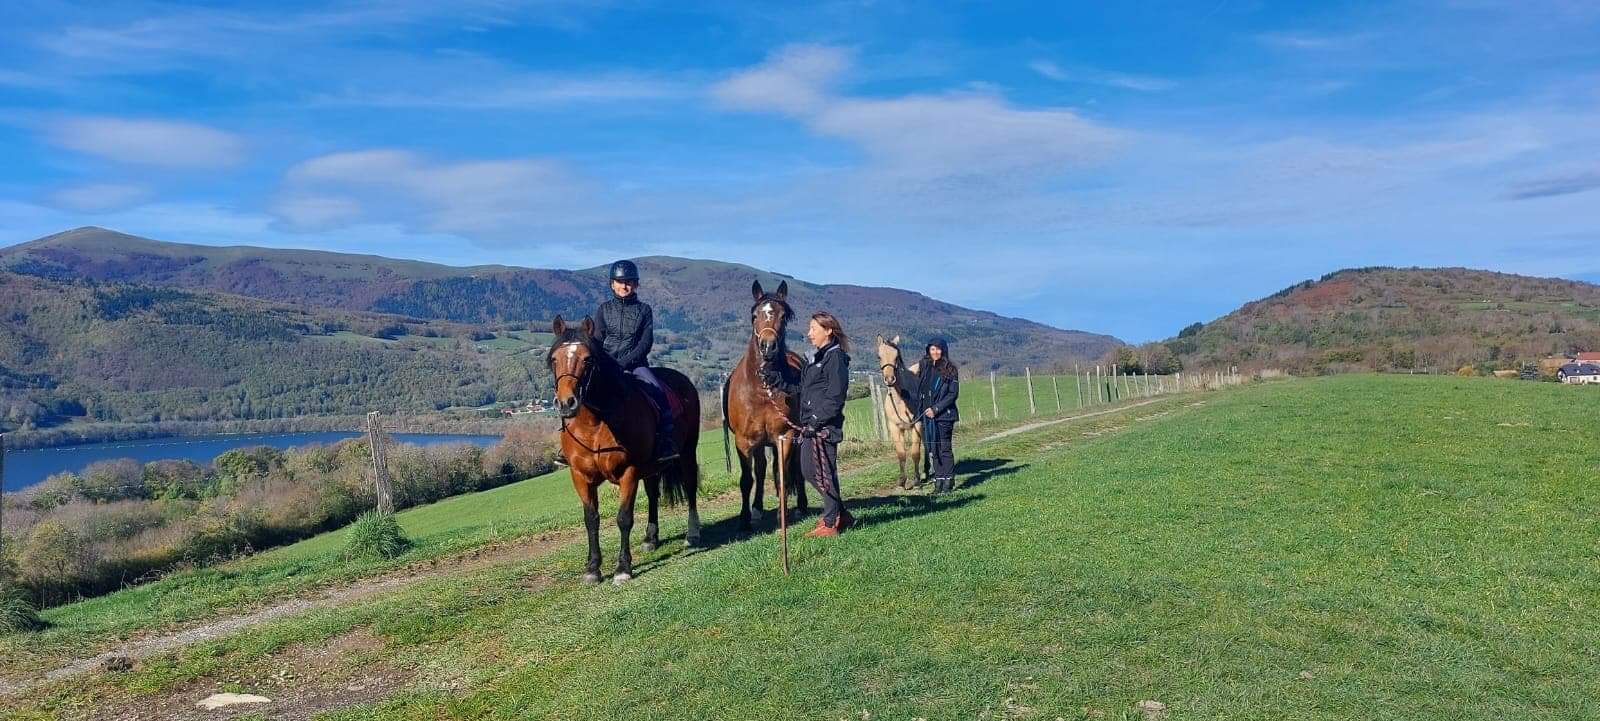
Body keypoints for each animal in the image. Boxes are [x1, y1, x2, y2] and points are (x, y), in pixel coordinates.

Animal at [548, 315, 701, 585]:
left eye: (588, 359)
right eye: (554, 359)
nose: (566, 403)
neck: (596, 422)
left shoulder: (628, 472)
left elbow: (623, 518)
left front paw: (622, 569)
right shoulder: (580, 477)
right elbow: (591, 520)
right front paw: (592, 569)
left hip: (687, 452)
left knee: (690, 487)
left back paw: (692, 535)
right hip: (651, 467)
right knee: (653, 494)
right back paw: (651, 539)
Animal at [722, 279, 807, 529]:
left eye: (783, 316)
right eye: (754, 315)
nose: (768, 346)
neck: (762, 389)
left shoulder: (786, 436)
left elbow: (782, 475)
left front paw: (783, 514)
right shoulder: (744, 441)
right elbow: (747, 479)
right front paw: (744, 519)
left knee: (795, 468)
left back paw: (800, 505)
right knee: (759, 471)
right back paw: (758, 509)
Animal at [875, 335, 925, 489]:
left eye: (896, 356)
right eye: (879, 356)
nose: (890, 379)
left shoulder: (918, 424)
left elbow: (915, 453)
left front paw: (916, 480)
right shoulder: (895, 427)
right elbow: (901, 454)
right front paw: (902, 481)